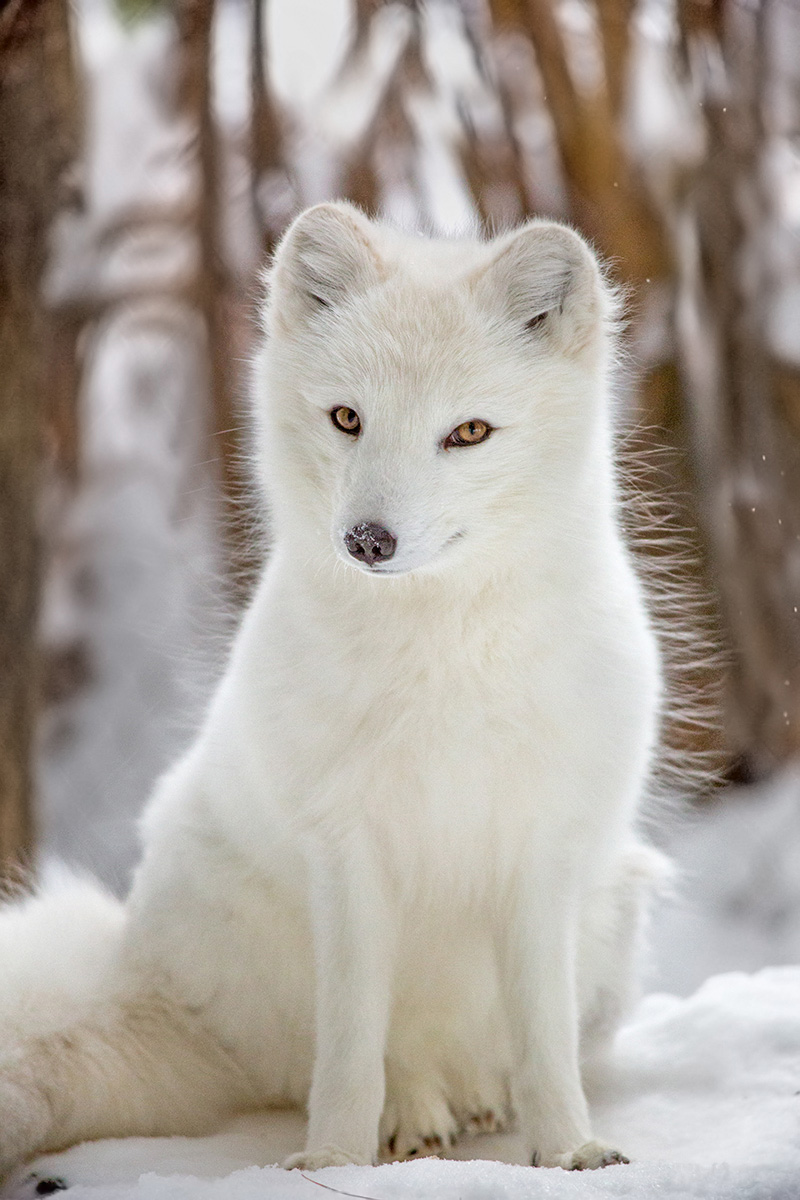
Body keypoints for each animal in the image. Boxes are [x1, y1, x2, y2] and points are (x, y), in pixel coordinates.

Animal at [0, 202, 666, 1179]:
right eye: (348, 418)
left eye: (469, 433)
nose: (367, 540)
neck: (440, 660)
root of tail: (152, 979)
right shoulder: (347, 850)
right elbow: (352, 1043)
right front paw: (333, 1160)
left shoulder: (540, 848)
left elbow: (544, 1039)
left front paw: (569, 1150)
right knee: (375, 1055)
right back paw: (413, 1120)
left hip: (615, 902)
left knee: (480, 1055)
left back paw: (473, 1104)